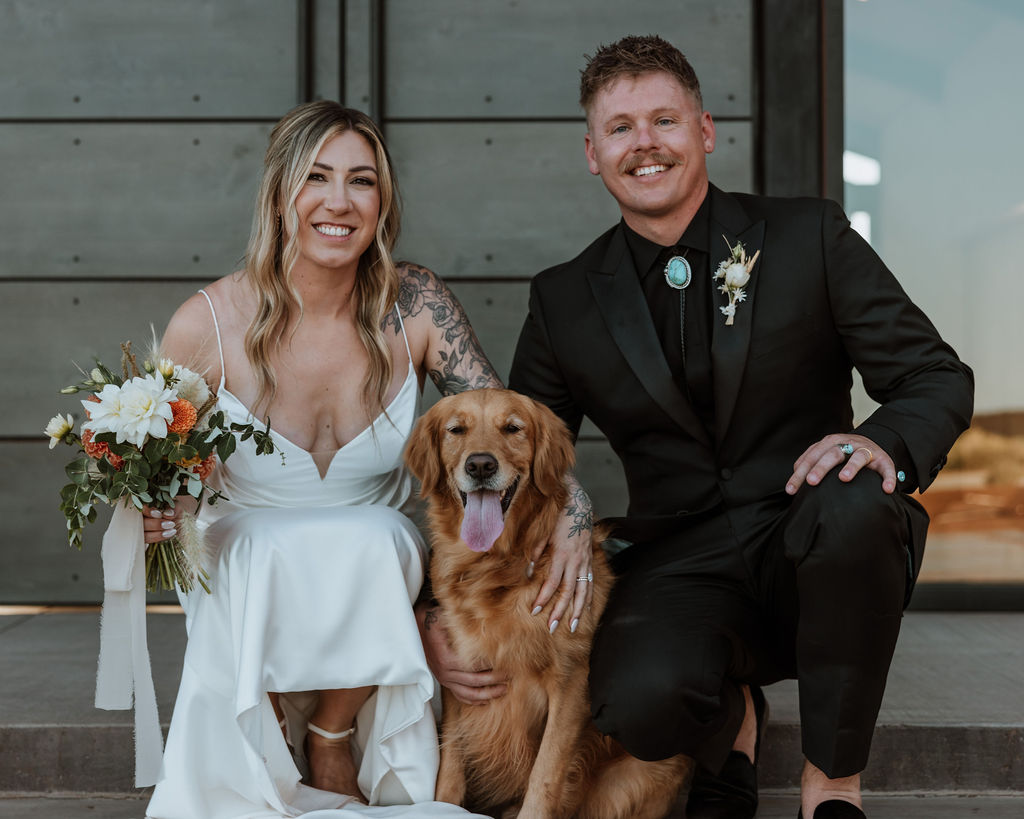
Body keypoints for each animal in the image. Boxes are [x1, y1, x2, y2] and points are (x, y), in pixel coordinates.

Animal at [401, 391, 688, 818]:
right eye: (456, 429)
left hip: (645, 772)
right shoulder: (461, 677)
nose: (480, 465)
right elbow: (449, 764)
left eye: (512, 428)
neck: (499, 568)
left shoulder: (569, 681)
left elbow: (546, 773)